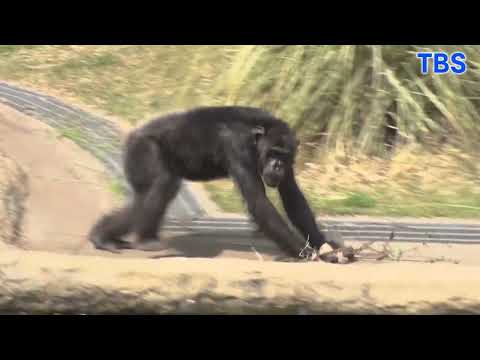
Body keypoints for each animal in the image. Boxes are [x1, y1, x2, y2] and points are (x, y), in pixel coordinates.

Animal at [89, 106, 338, 258]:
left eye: (283, 156)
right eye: (272, 153)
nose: (277, 165)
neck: (257, 136)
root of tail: (133, 136)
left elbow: (294, 198)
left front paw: (326, 246)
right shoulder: (237, 146)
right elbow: (259, 202)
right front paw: (304, 252)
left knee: (148, 197)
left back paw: (105, 236)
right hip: (143, 150)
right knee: (159, 187)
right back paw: (140, 239)